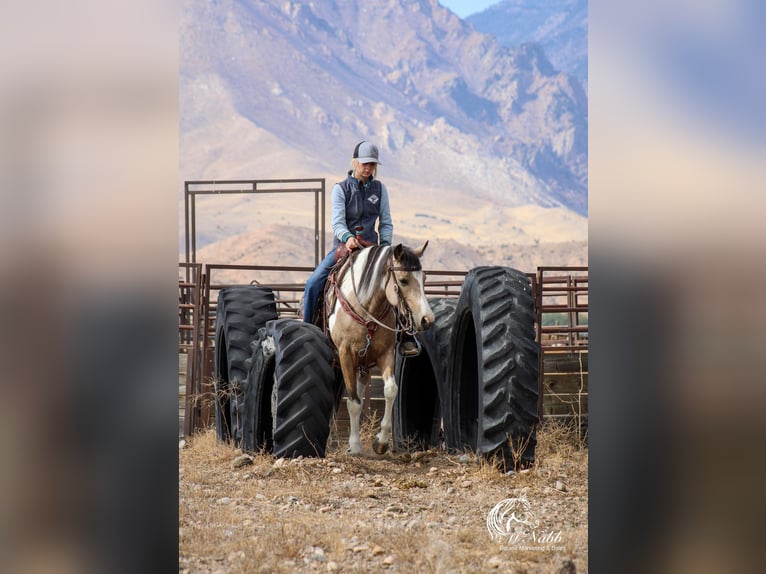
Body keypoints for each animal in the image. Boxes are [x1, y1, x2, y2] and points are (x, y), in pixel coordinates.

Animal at [324, 241, 436, 456]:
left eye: (425, 278)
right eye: (403, 280)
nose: (427, 319)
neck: (367, 310)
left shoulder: (386, 354)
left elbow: (390, 390)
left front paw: (381, 442)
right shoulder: (345, 354)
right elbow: (353, 402)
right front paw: (355, 446)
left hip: (362, 365)